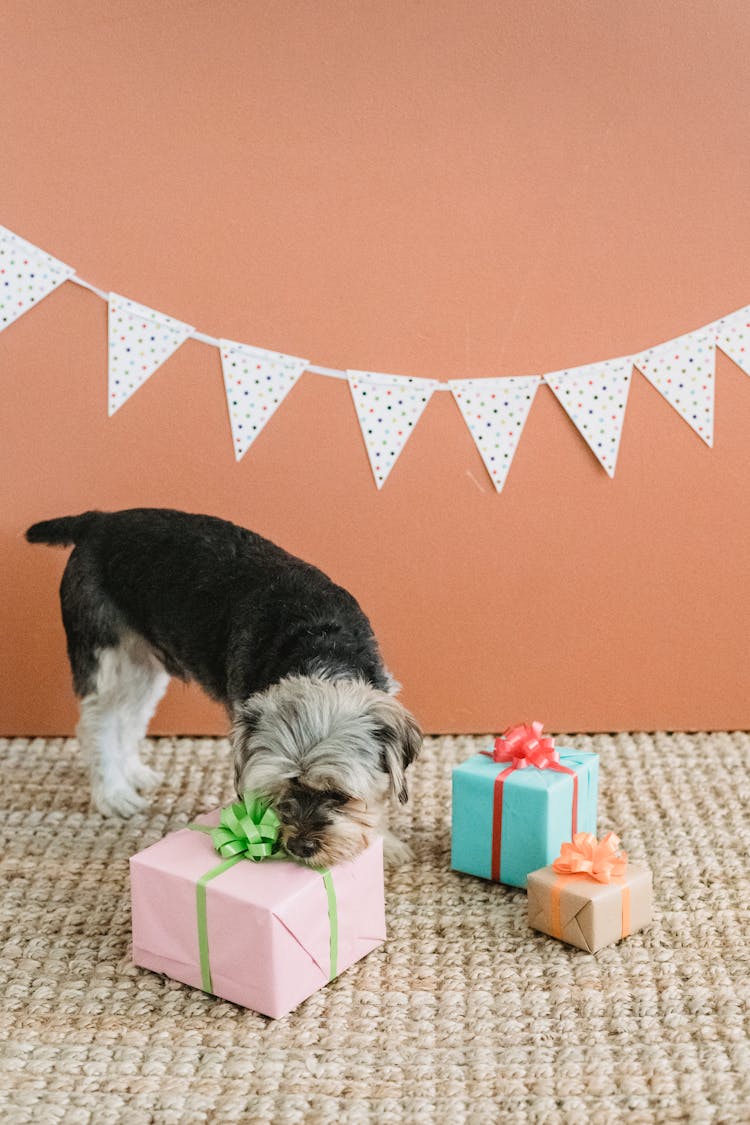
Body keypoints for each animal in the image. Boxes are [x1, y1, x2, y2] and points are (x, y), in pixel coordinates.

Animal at [26, 510, 422, 868]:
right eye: (275, 791)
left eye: (340, 795)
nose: (300, 847)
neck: (319, 651)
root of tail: (97, 521)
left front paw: (384, 842)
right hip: (106, 652)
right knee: (97, 722)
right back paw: (114, 794)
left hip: (143, 666)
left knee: (129, 717)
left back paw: (134, 773)